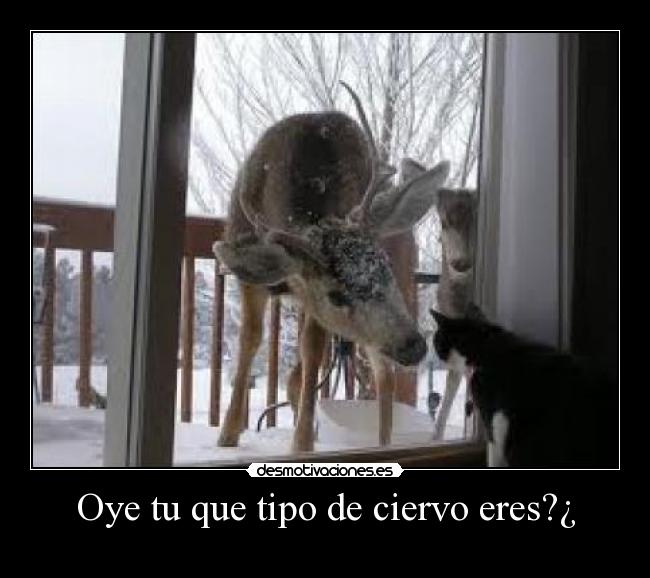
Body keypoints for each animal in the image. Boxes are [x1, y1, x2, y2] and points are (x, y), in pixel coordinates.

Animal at [212, 83, 450, 453]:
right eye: (335, 295)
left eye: (384, 269)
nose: (414, 345)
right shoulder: (256, 273)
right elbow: (251, 338)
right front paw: (228, 433)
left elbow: (311, 350)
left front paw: (301, 443)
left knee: (382, 374)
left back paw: (381, 443)